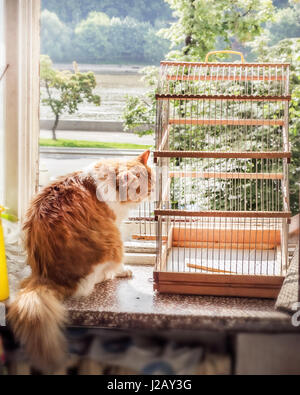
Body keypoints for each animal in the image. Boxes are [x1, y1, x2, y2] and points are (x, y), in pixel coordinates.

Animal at [8, 150, 154, 372]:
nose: (152, 191)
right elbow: (120, 265)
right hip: (114, 241)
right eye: (142, 186)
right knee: (94, 281)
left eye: (151, 179)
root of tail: (44, 276)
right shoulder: (115, 223)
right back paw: (111, 274)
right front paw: (123, 271)